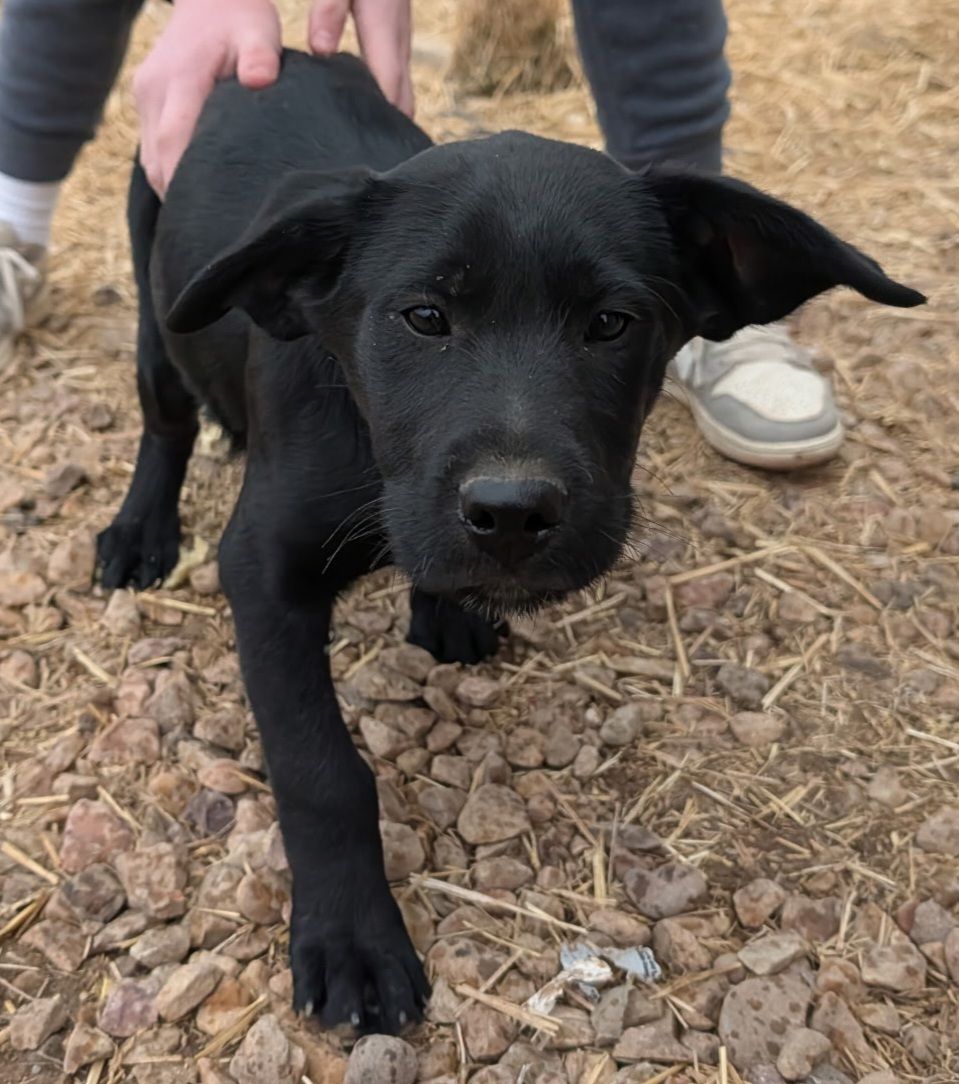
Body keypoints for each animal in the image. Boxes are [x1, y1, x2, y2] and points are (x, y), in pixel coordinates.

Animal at [97, 49, 924, 1032]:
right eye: (423, 317)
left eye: (611, 322)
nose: (513, 512)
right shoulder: (263, 573)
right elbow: (319, 769)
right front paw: (351, 938)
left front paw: (447, 605)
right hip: (157, 306)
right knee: (165, 418)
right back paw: (140, 530)